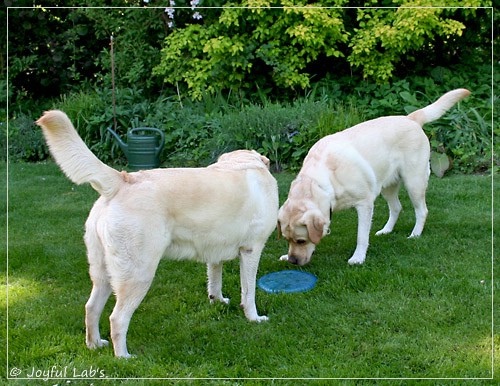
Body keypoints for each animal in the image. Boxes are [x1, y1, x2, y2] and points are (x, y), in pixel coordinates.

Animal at [37, 110, 280, 358]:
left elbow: (214, 280)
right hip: (139, 273)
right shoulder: (251, 250)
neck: (242, 163)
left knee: (91, 308)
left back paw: (95, 344)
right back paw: (124, 357)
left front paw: (218, 301)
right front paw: (254, 318)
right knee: (117, 318)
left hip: (102, 272)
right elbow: (248, 292)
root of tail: (122, 180)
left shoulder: (214, 251)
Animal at [280, 89, 470, 266]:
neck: (322, 181)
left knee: (422, 211)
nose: (293, 261)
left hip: (414, 182)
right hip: (387, 185)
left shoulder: (364, 204)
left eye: (301, 241)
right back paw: (386, 230)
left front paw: (358, 258)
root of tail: (410, 118)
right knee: (397, 207)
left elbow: (361, 236)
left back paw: (415, 234)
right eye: (287, 240)